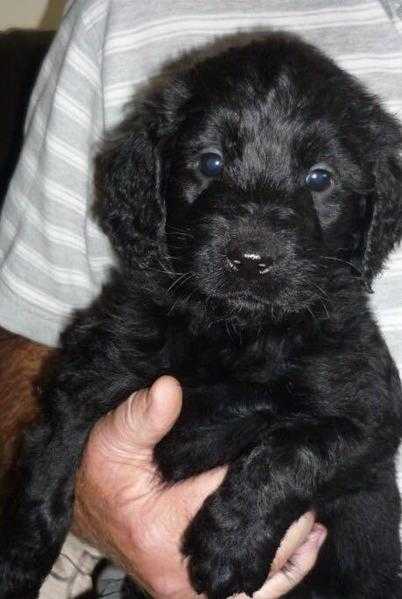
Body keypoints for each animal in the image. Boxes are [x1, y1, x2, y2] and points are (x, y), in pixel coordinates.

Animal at [0, 31, 402, 599]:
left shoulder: (370, 414)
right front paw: (17, 564)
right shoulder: (93, 368)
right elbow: (51, 459)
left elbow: (296, 449)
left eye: (319, 178)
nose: (251, 259)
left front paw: (229, 544)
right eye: (211, 163)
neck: (237, 331)